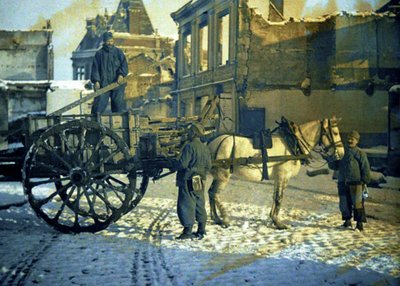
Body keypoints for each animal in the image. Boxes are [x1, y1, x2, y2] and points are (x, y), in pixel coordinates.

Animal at [206, 115, 344, 229]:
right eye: (335, 132)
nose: (342, 153)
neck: (293, 143)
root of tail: (212, 142)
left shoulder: (278, 178)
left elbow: (275, 197)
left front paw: (273, 218)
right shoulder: (283, 176)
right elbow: (279, 198)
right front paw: (278, 222)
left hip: (218, 176)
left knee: (210, 192)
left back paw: (216, 217)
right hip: (223, 176)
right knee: (215, 193)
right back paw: (224, 219)